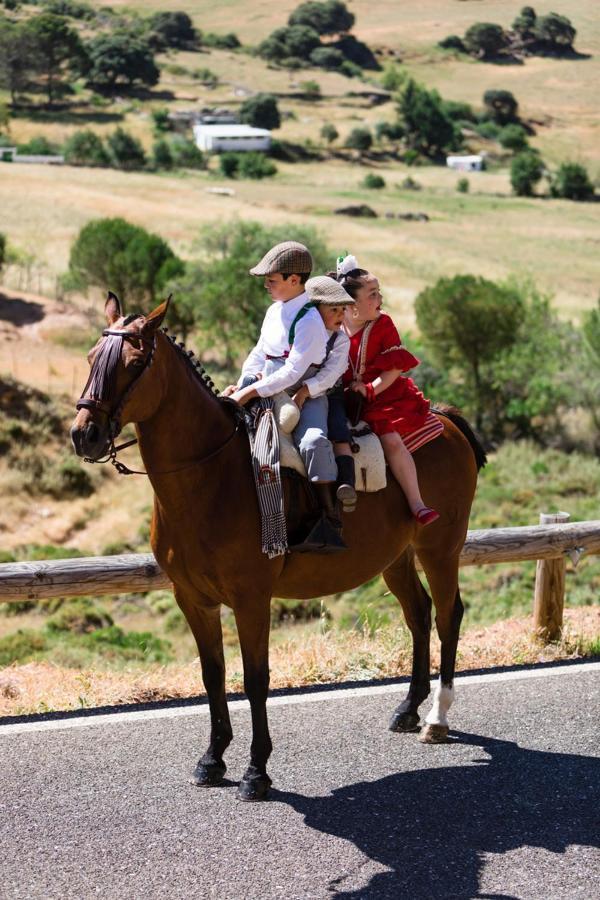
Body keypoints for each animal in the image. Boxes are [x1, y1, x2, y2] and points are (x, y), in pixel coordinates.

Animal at [70, 294, 486, 800]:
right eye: (91, 357)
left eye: (132, 363)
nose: (84, 433)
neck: (212, 475)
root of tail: (445, 420)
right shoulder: (192, 598)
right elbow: (212, 675)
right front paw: (212, 759)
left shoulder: (252, 599)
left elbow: (255, 679)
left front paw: (256, 771)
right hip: (396, 558)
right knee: (420, 614)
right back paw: (408, 708)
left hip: (440, 549)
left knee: (447, 615)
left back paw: (437, 718)